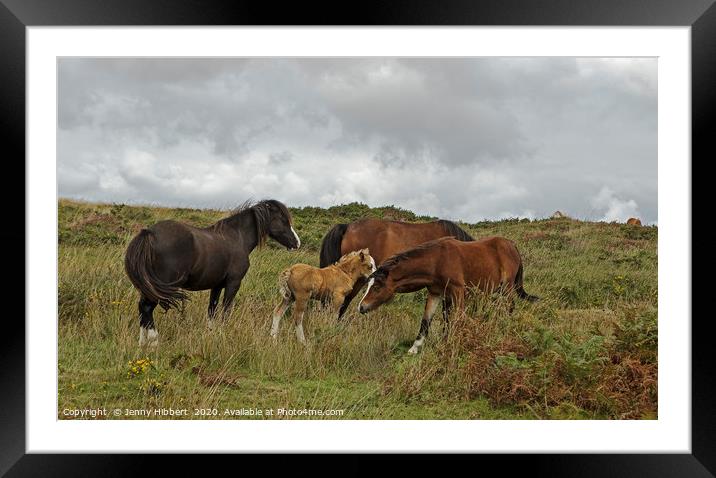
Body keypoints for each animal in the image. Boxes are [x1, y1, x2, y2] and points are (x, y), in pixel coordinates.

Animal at [124, 200, 300, 346]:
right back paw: (154, 342)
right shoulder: (233, 284)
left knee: (142, 309)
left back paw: (142, 343)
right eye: (283, 220)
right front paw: (223, 334)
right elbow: (225, 311)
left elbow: (212, 311)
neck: (237, 238)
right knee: (147, 308)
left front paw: (210, 335)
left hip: (150, 286)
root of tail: (149, 233)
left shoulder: (217, 286)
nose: (297, 242)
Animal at [358, 236, 536, 352]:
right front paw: (415, 348)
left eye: (377, 286)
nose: (361, 307)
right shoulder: (436, 293)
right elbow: (426, 321)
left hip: (507, 288)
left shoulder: (458, 291)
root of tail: (512, 245)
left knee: (510, 307)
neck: (437, 261)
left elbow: (458, 320)